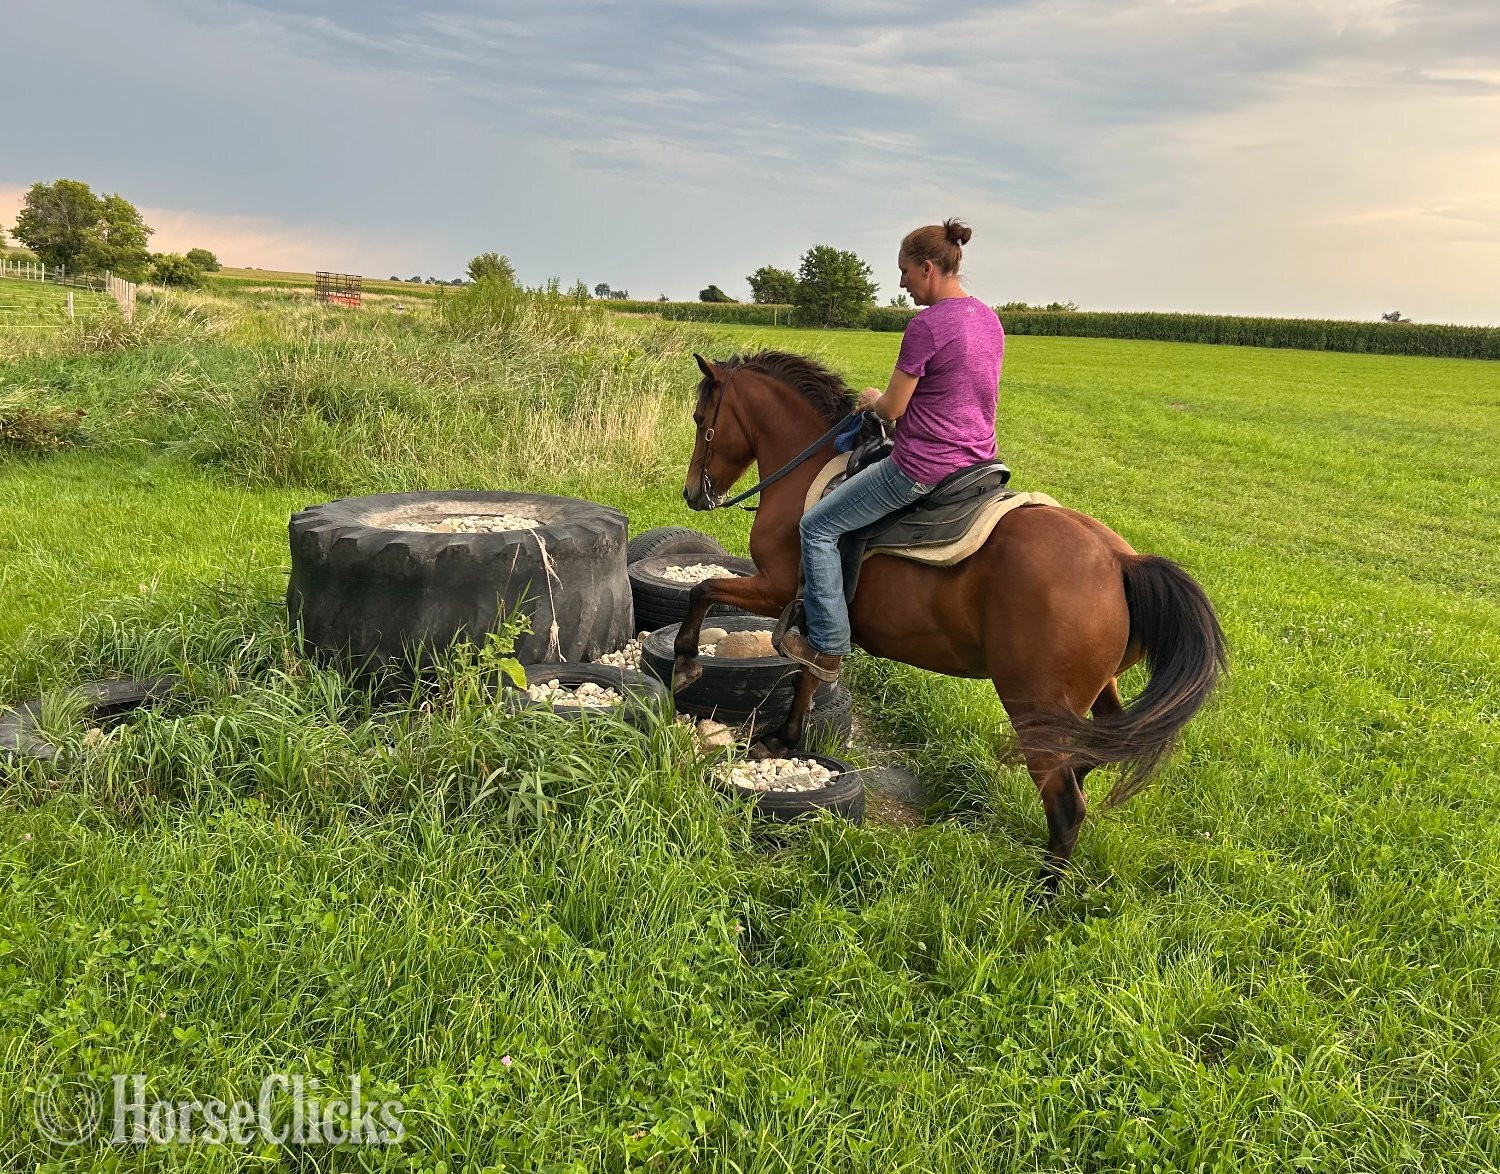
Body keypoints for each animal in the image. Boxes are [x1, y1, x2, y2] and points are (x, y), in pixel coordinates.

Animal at [672, 350, 1227, 892]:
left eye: (701, 419)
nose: (692, 494)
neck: (808, 473)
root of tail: (1121, 562)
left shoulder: (777, 588)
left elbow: (703, 593)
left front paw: (684, 664)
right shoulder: (816, 615)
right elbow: (810, 672)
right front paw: (784, 739)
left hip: (1034, 707)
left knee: (1067, 806)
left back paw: (1041, 898)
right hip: (1097, 694)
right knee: (1097, 754)